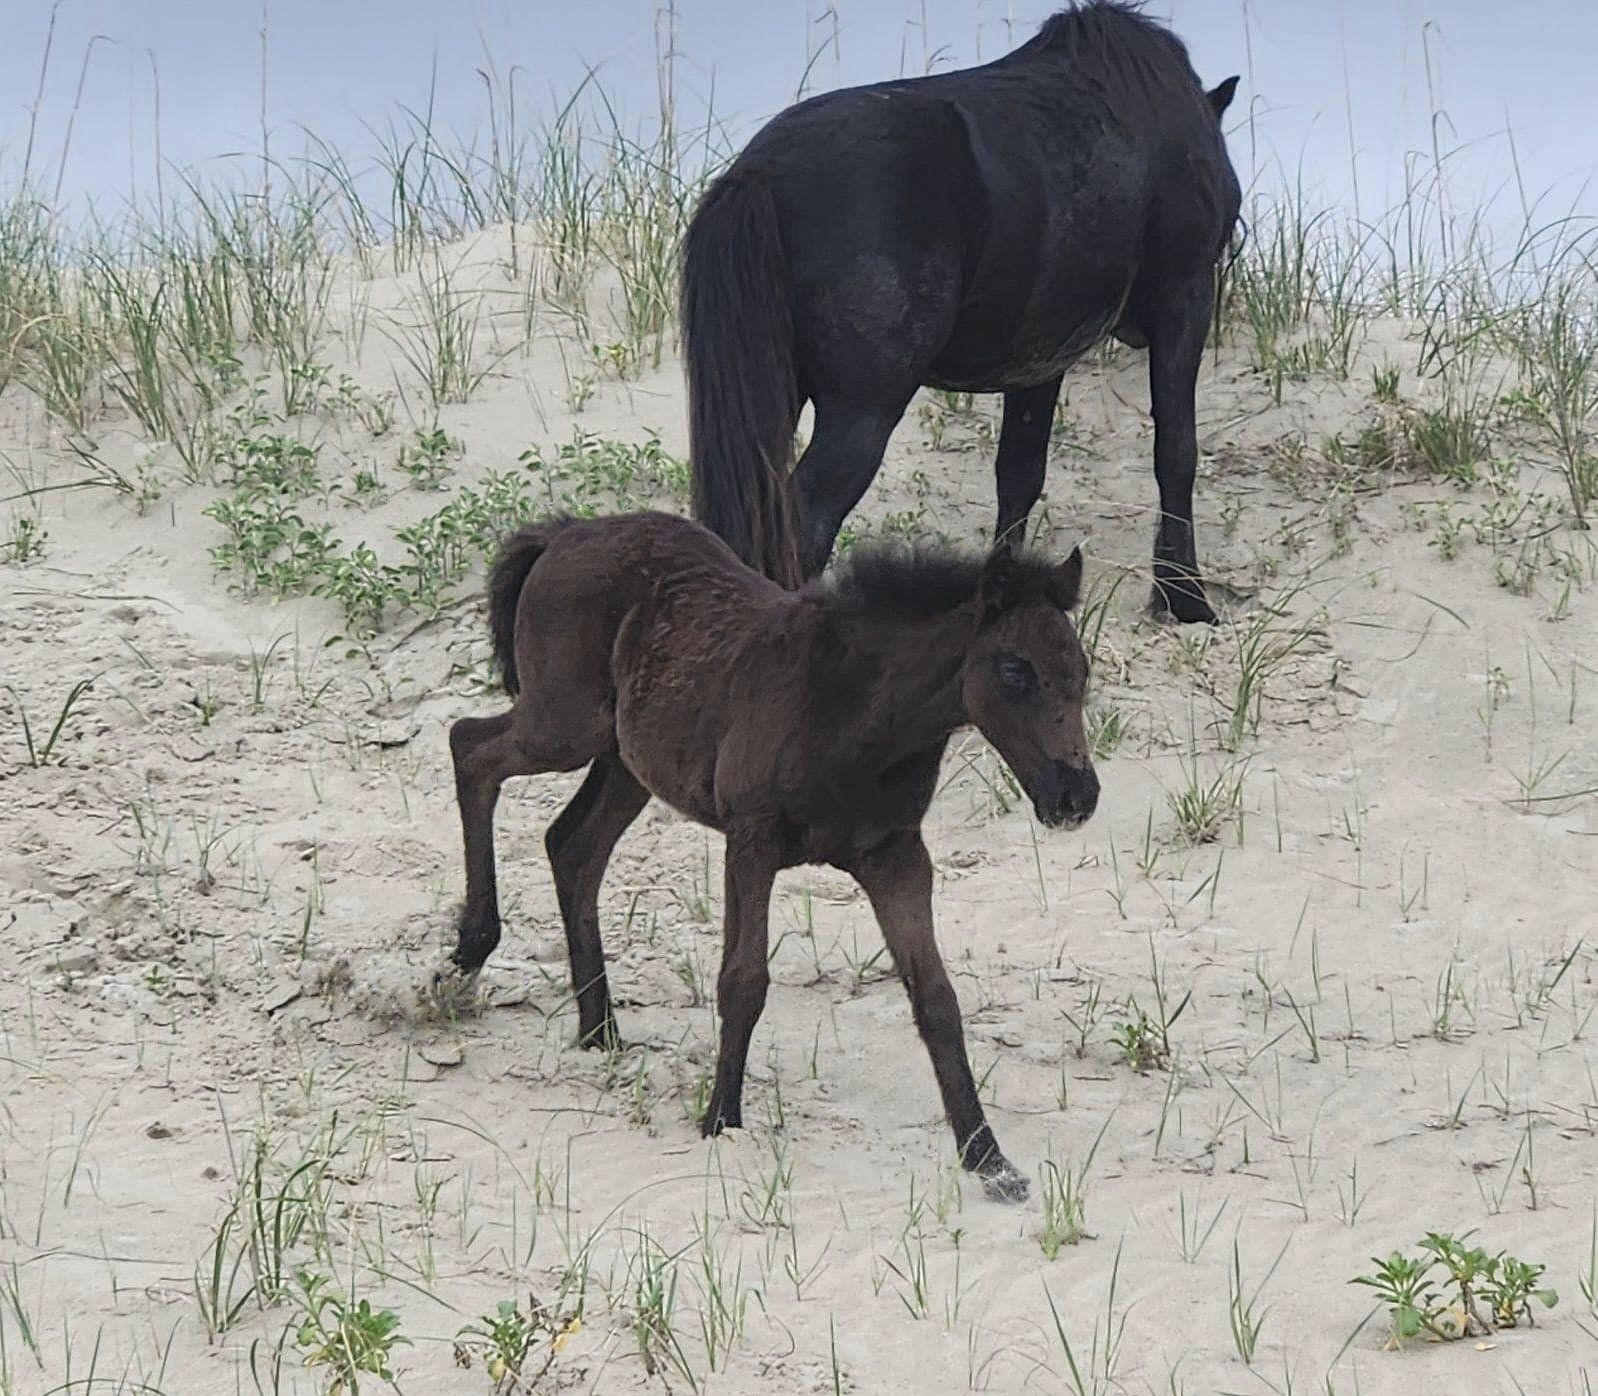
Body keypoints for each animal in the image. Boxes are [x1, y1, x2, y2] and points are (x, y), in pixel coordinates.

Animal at [447, 507, 1099, 1194]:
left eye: (1080, 672)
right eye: (1014, 671)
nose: (1076, 795)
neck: (856, 716)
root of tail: (566, 531)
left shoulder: (896, 857)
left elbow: (937, 1000)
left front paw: (988, 1158)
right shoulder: (751, 841)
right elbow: (743, 981)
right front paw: (720, 1119)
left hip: (627, 759)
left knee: (571, 846)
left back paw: (597, 1028)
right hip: (563, 725)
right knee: (470, 748)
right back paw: (474, 944)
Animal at [680, 0, 1240, 619]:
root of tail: (761, 173)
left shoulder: (1040, 355)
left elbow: (1018, 472)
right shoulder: (1185, 297)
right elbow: (1176, 450)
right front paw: (1184, 597)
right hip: (861, 411)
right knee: (806, 522)